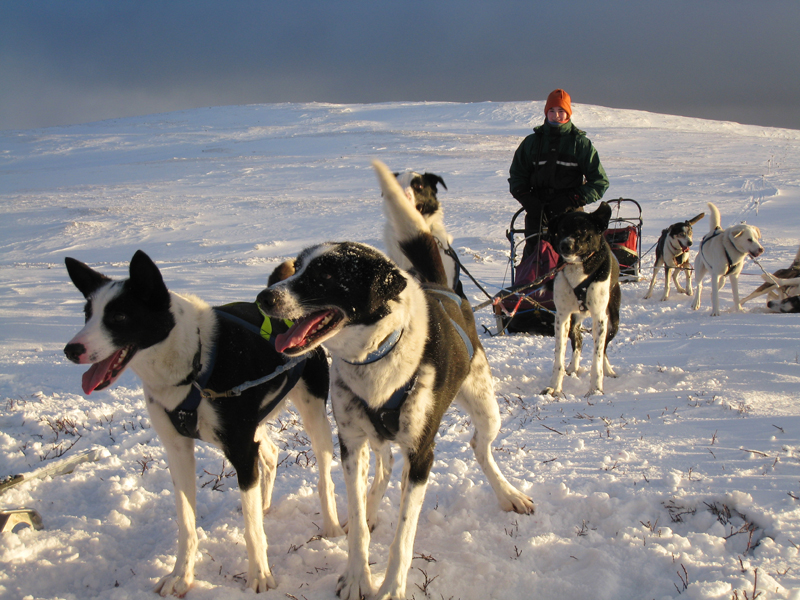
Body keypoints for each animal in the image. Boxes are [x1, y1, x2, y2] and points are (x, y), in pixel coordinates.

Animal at [256, 159, 532, 600]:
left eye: (322, 277)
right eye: (296, 268)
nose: (263, 297)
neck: (375, 356)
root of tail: (442, 288)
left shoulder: (421, 453)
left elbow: (404, 533)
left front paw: (390, 586)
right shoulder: (351, 443)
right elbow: (356, 519)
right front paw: (356, 575)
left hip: (486, 409)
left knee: (480, 447)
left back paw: (508, 494)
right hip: (377, 437)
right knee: (384, 468)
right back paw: (371, 510)